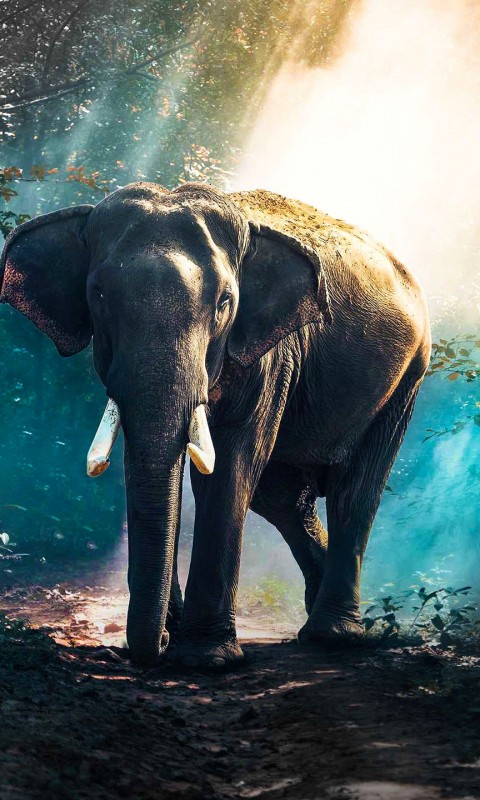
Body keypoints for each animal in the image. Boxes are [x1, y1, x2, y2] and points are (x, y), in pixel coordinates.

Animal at [0, 182, 431, 668]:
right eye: (99, 296)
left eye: (225, 301)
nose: (159, 643)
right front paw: (177, 638)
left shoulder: (271, 354)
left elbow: (229, 466)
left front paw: (206, 658)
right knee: (283, 498)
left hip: (408, 377)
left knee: (353, 492)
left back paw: (333, 636)